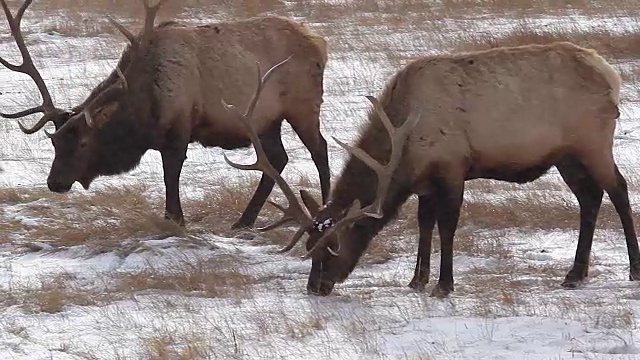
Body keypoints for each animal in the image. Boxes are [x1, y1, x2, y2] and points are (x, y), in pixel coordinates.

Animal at [0, 0, 330, 228]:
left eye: (82, 143)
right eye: (54, 142)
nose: (54, 182)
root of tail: (320, 42)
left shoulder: (179, 129)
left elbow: (171, 175)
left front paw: (176, 218)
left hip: (303, 105)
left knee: (319, 149)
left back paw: (325, 209)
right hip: (265, 120)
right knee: (277, 158)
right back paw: (244, 221)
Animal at [230, 40, 640, 296]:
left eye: (334, 246)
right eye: (309, 245)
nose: (316, 287)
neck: (405, 146)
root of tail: (611, 75)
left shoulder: (452, 168)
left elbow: (447, 226)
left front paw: (444, 285)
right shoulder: (424, 182)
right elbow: (424, 224)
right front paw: (417, 280)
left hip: (593, 141)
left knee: (618, 189)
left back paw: (633, 269)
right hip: (566, 155)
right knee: (590, 198)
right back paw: (575, 273)